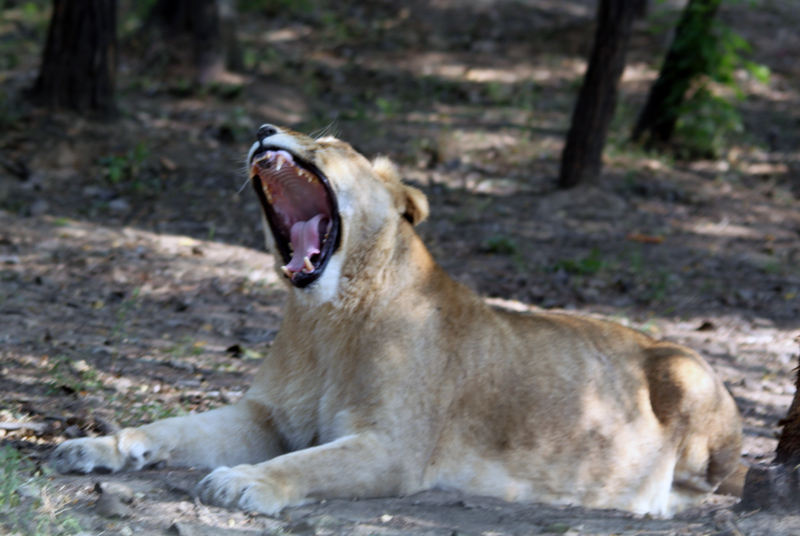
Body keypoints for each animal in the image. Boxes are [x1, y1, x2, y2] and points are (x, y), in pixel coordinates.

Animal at [53, 123, 744, 516]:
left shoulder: (394, 448)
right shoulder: (266, 419)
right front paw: (98, 446)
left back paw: (657, 499)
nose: (263, 126)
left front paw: (245, 482)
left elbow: (309, 465)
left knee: (726, 484)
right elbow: (173, 426)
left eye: (330, 144)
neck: (327, 320)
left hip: (685, 370)